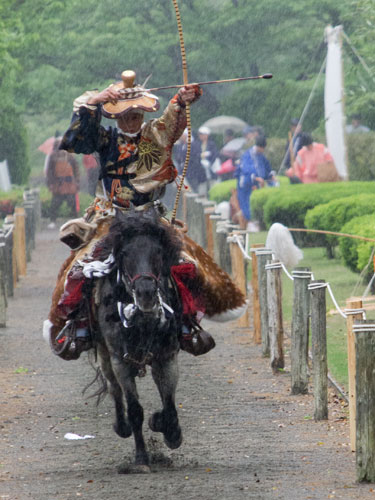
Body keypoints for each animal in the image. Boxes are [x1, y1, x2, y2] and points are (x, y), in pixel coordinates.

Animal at [94, 209, 185, 474]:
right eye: (124, 253)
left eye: (158, 252)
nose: (145, 292)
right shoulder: (120, 360)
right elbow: (135, 409)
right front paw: (142, 458)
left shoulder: (166, 356)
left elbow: (169, 401)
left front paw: (168, 430)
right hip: (105, 354)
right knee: (113, 388)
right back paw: (121, 425)